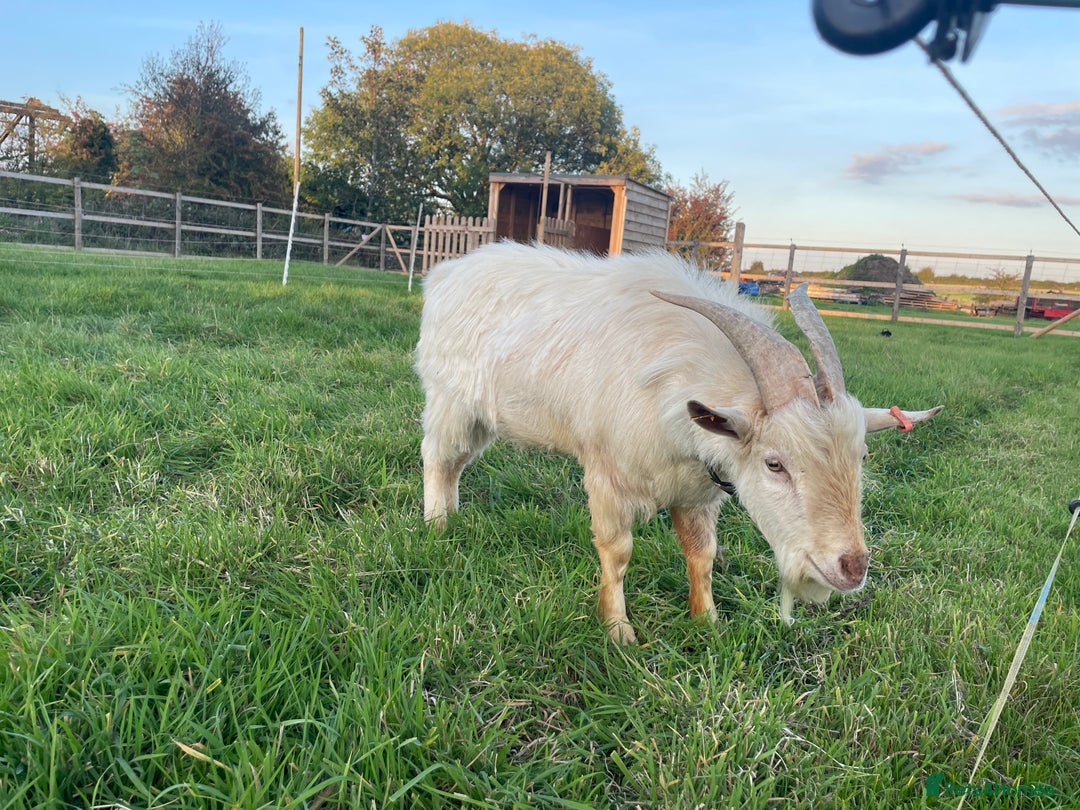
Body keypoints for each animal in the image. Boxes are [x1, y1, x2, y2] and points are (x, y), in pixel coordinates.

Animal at [415, 242, 941, 643]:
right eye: (774, 464)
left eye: (862, 455)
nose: (852, 567)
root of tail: (446, 272)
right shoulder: (607, 477)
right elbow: (617, 553)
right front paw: (618, 631)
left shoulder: (697, 492)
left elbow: (701, 556)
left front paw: (706, 620)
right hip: (450, 400)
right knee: (437, 458)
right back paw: (437, 527)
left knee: (457, 464)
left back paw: (454, 516)